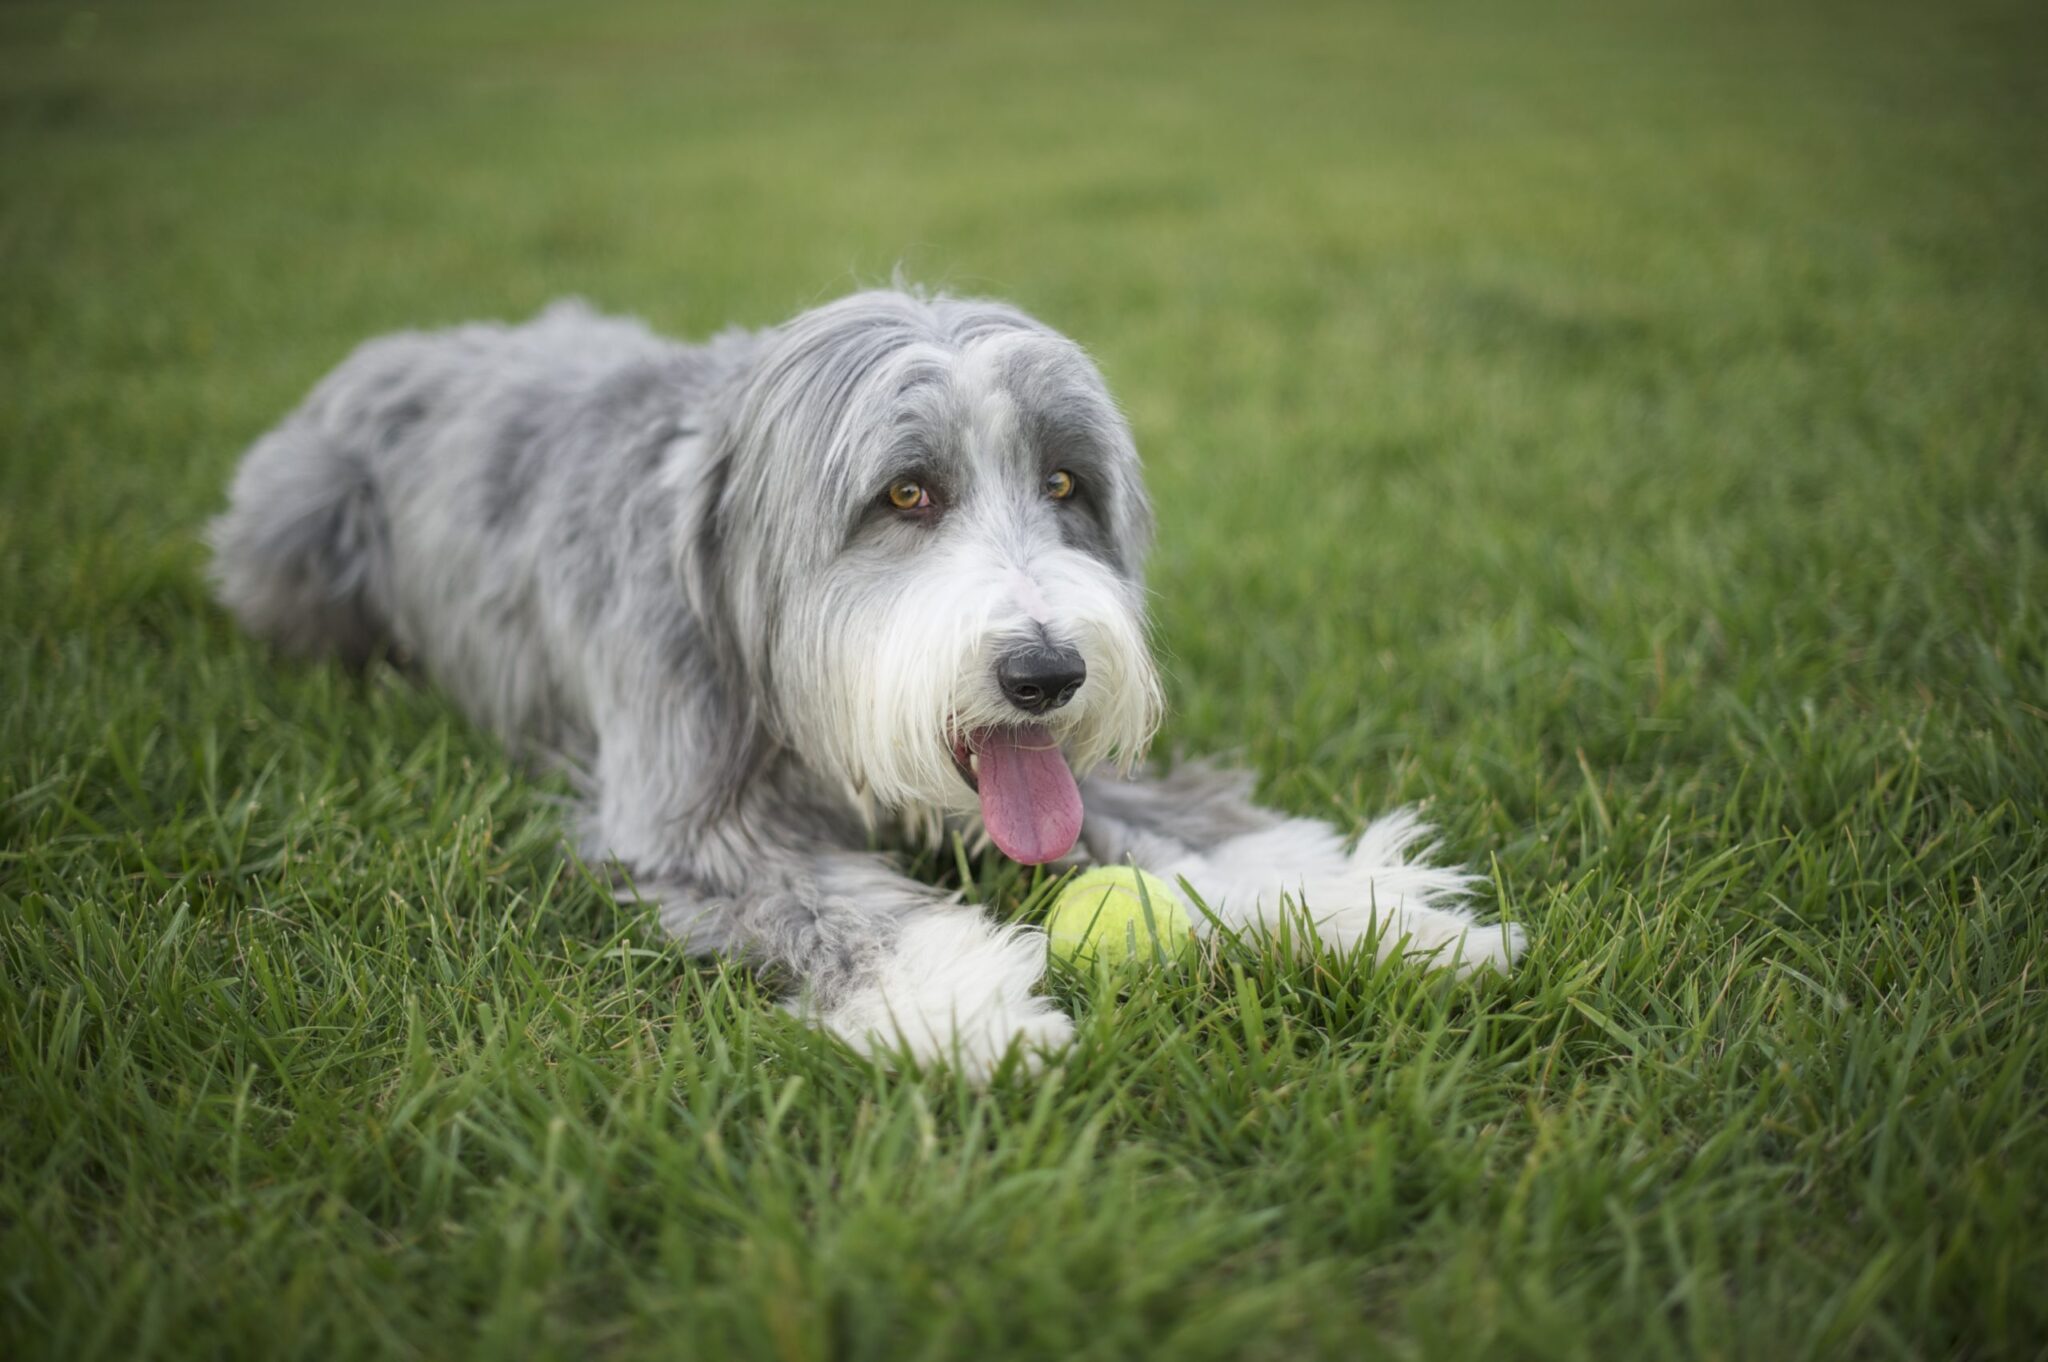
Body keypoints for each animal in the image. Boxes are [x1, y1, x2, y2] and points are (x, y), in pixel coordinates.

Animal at [207, 286, 1523, 1073]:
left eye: (1063, 484)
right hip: (294, 532)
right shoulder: (693, 828)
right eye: (905, 494)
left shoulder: (1068, 773)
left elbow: (1206, 834)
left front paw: (1379, 915)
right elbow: (843, 906)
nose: (1046, 672)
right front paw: (973, 1006)